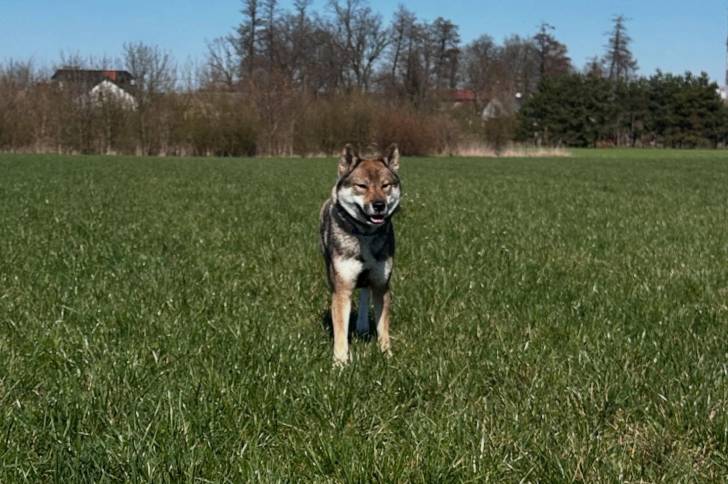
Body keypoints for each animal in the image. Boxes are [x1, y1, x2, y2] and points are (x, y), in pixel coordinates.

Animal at [319, 144, 401, 364]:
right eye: (362, 186)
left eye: (385, 185)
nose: (379, 205)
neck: (365, 234)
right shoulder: (342, 288)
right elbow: (340, 331)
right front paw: (340, 362)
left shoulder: (382, 285)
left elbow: (383, 327)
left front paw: (387, 355)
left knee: (365, 293)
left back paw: (363, 326)